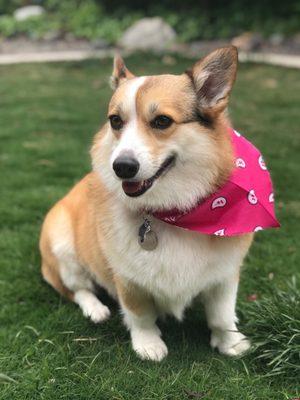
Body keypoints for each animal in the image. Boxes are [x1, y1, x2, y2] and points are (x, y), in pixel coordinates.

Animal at [39, 47, 255, 362]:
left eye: (162, 121)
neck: (173, 212)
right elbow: (140, 315)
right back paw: (96, 310)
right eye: (115, 121)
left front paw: (230, 343)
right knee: (78, 290)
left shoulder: (225, 275)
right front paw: (148, 345)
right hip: (63, 248)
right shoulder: (128, 279)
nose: (122, 167)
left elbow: (222, 316)